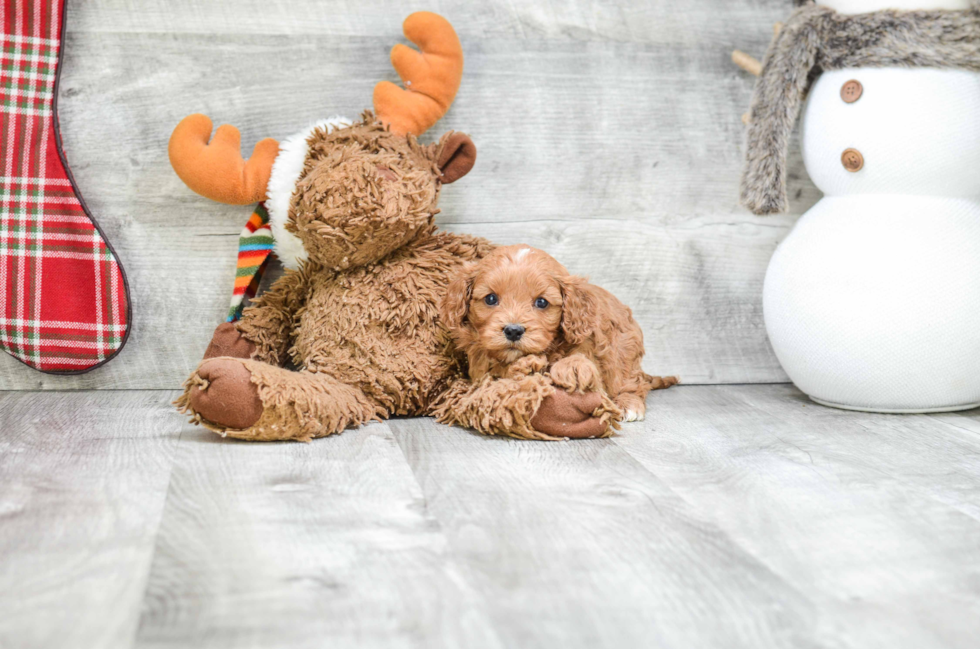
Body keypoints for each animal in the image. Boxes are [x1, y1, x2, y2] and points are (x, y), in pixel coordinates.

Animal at [440, 243, 676, 420]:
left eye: (542, 302)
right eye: (490, 299)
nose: (513, 331)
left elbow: (583, 361)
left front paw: (573, 368)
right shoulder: (481, 369)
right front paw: (521, 370)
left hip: (625, 352)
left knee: (634, 382)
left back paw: (629, 404)